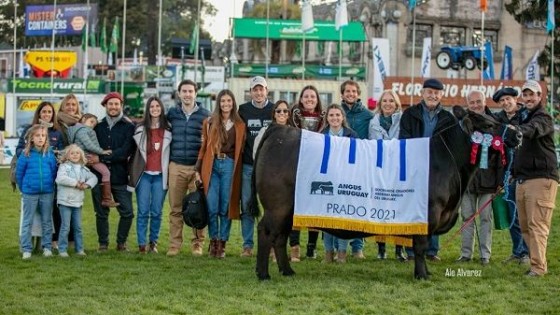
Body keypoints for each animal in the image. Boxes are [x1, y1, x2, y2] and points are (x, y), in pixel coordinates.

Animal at [254, 106, 520, 282]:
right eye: (488, 125)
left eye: (495, 118)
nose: (518, 134)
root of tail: (279, 130)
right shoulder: (429, 211)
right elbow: (421, 246)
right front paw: (422, 275)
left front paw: (425, 272)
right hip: (277, 206)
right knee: (266, 232)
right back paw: (264, 273)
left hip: (289, 209)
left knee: (280, 237)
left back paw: (287, 271)